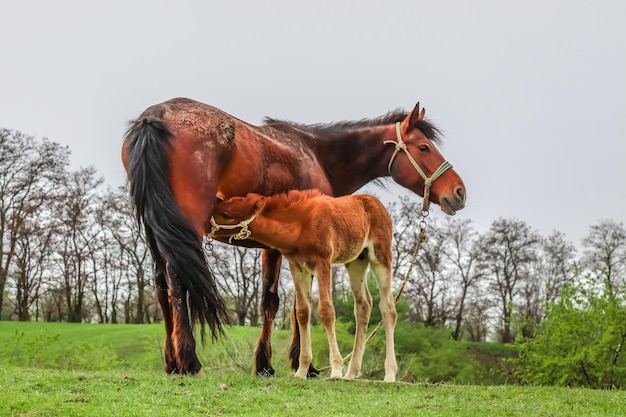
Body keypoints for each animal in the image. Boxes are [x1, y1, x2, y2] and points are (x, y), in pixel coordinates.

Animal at [210, 190, 394, 382]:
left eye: (226, 214)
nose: (206, 224)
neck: (301, 225)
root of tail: (378, 205)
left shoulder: (323, 262)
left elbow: (326, 311)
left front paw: (336, 370)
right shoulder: (297, 267)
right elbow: (302, 312)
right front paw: (301, 370)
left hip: (381, 256)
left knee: (388, 307)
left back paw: (389, 374)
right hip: (356, 261)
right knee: (363, 304)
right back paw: (351, 373)